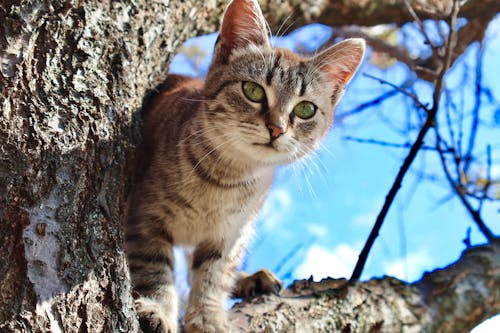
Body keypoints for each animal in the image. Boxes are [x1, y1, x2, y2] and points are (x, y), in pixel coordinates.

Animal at [124, 0, 364, 332]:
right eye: (253, 91)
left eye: (305, 109)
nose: (276, 128)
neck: (224, 179)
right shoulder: (144, 218)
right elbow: (154, 270)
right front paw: (158, 309)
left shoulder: (230, 235)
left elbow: (212, 277)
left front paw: (209, 318)